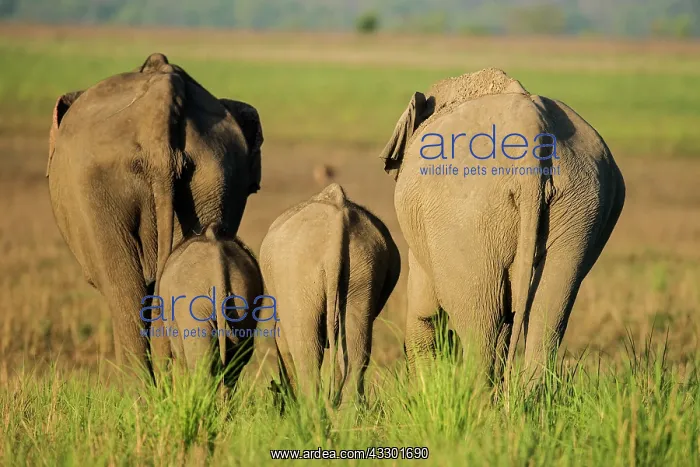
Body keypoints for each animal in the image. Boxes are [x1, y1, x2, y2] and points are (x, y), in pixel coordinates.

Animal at [378, 68, 625, 388]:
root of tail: (532, 131)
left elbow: (425, 312)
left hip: (464, 217)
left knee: (480, 321)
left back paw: (478, 397)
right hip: (583, 200)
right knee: (547, 311)